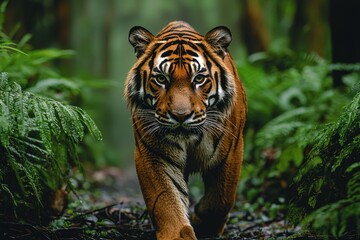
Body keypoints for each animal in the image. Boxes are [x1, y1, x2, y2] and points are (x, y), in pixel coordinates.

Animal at [125, 21, 246, 240]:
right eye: (161, 78)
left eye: (198, 79)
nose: (181, 115)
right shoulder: (153, 155)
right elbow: (166, 201)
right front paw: (178, 233)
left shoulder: (232, 151)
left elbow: (222, 198)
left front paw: (204, 225)